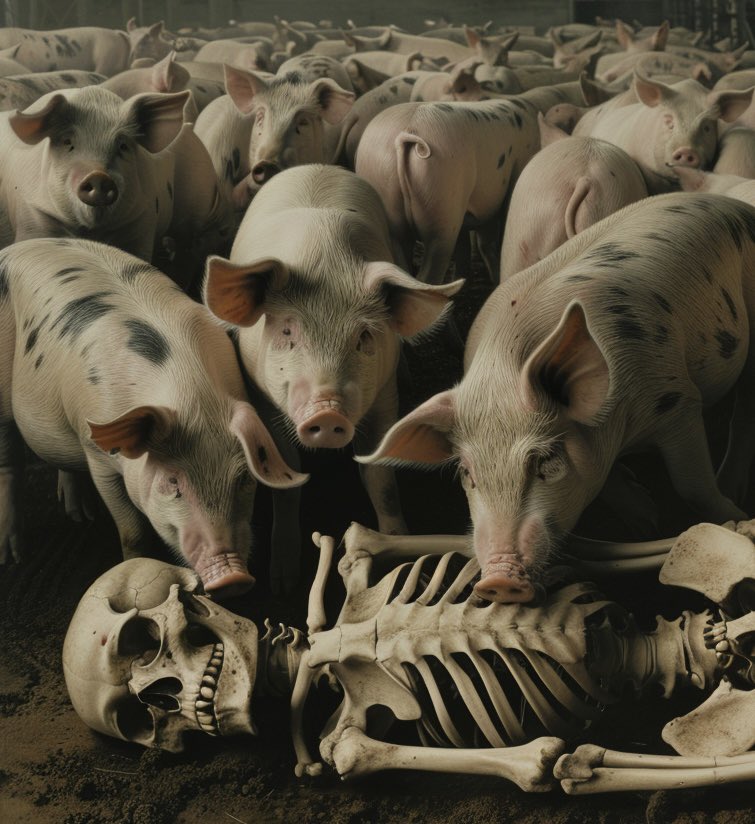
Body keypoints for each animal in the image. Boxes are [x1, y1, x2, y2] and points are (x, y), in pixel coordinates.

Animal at [0, 86, 188, 259]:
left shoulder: (142, 221)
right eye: (67, 142)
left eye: (123, 146)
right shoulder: (32, 216)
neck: (91, 232)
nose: (98, 176)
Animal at [0, 237, 307, 596]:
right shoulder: (98, 458)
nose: (233, 577)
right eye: (173, 481)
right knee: (9, 463)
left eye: (244, 478)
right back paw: (13, 556)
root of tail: (16, 248)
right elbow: (132, 531)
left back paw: (80, 516)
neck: (193, 400)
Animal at [203, 164, 463, 538]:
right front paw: (283, 551)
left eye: (364, 336)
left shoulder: (384, 394)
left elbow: (380, 478)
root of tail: (318, 166)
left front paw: (396, 538)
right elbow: (288, 476)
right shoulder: (261, 397)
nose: (327, 412)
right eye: (287, 331)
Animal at [360, 192, 755, 603]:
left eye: (545, 461)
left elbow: (692, 487)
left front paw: (732, 516)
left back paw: (733, 487)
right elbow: (609, 482)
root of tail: (730, 204)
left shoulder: (677, 400)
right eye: (467, 473)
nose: (498, 580)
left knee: (745, 408)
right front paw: (646, 519)